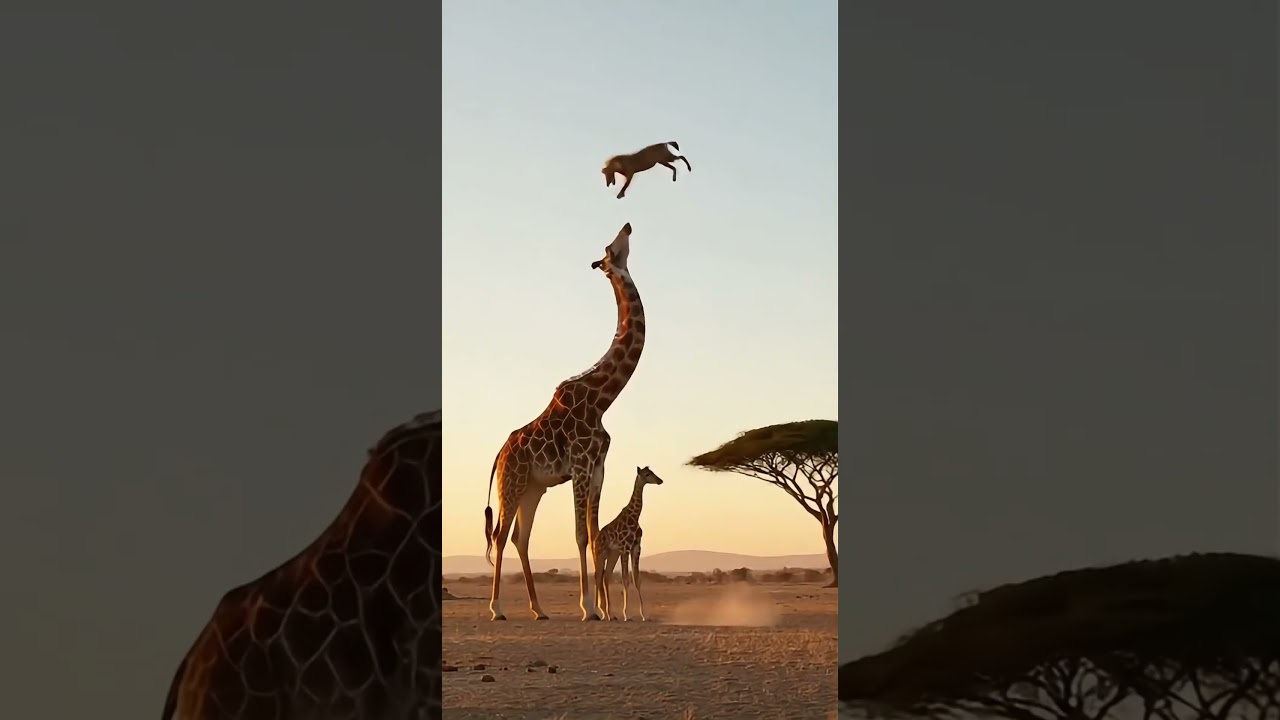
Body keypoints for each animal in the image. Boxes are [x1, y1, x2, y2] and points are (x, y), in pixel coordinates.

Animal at [483, 221, 647, 622]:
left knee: (520, 537)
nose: (627, 225)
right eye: (609, 249)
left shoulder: (599, 467)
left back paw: (539, 610)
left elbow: (594, 532)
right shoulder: (581, 464)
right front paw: (589, 608)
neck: (602, 399)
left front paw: (604, 610)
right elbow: (581, 534)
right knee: (500, 535)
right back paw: (497, 608)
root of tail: (500, 454)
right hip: (512, 483)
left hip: (533, 488)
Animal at [593, 466, 663, 622]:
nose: (660, 480)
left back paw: (610, 614)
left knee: (605, 577)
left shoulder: (636, 548)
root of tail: (594, 540)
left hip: (612, 554)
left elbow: (637, 579)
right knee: (597, 576)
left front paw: (643, 615)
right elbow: (625, 580)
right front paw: (627, 614)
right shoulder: (625, 548)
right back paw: (599, 612)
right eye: (647, 474)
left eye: (652, 472)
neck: (635, 516)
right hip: (600, 554)